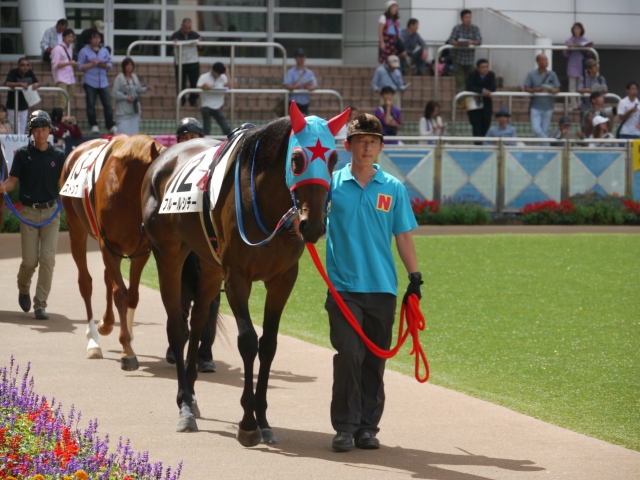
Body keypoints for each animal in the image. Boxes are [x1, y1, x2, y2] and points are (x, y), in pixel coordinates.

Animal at [61, 135, 164, 370]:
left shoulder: (141, 251)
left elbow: (132, 295)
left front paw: (128, 341)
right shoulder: (108, 246)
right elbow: (121, 293)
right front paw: (127, 350)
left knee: (108, 277)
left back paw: (106, 323)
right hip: (75, 229)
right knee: (86, 282)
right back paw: (93, 341)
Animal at [142, 102, 349, 444]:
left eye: (333, 159)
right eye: (297, 159)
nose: (314, 226)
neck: (264, 202)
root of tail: (163, 156)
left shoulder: (283, 279)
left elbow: (269, 344)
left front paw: (263, 419)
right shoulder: (237, 276)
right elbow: (249, 341)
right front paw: (248, 422)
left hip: (210, 266)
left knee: (198, 321)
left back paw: (192, 395)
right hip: (169, 254)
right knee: (177, 327)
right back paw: (184, 405)